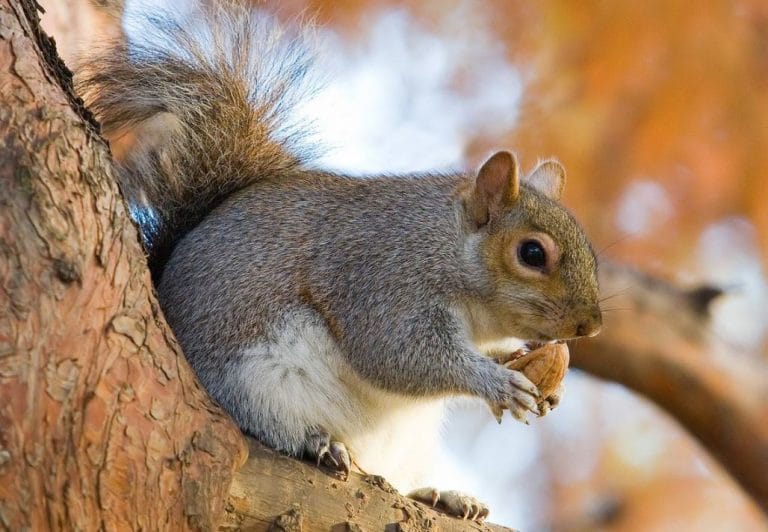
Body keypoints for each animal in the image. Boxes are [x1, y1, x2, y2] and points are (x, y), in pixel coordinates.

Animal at [78, 0, 601, 521]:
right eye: (532, 253)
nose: (591, 326)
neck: (447, 250)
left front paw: (532, 375)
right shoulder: (382, 277)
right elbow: (398, 354)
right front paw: (495, 383)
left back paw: (441, 495)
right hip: (254, 383)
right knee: (270, 424)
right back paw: (318, 443)